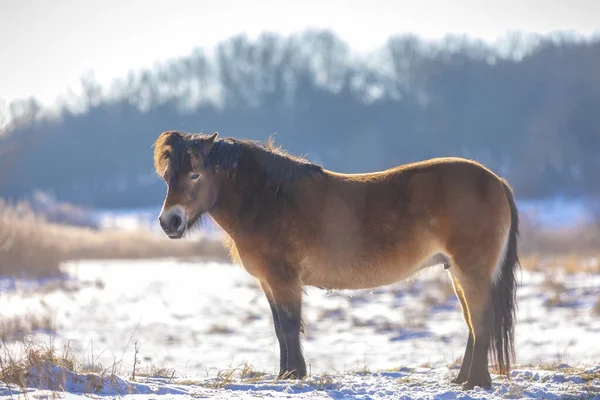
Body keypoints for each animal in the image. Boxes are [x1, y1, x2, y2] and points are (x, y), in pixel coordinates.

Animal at [154, 131, 520, 390]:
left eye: (195, 175)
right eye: (168, 177)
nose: (169, 222)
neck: (270, 200)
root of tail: (497, 181)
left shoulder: (283, 280)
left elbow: (289, 326)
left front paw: (293, 375)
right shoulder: (269, 284)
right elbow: (279, 328)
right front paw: (285, 374)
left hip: (471, 270)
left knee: (481, 320)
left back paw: (475, 383)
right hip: (457, 272)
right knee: (473, 322)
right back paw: (463, 380)